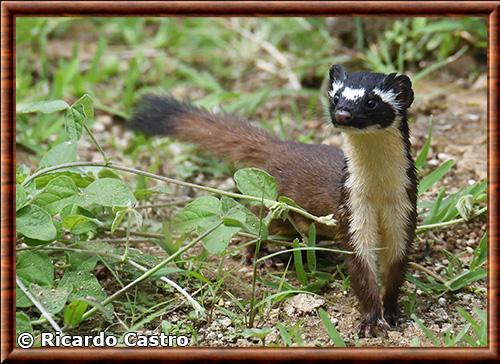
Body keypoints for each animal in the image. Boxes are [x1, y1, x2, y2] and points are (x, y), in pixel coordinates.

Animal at [130, 64, 418, 338]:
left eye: (371, 101)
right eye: (336, 96)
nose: (343, 114)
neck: (378, 191)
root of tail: (282, 146)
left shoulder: (404, 213)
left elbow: (395, 271)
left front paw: (393, 314)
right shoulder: (353, 211)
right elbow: (362, 273)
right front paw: (370, 322)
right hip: (274, 208)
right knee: (254, 221)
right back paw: (258, 256)